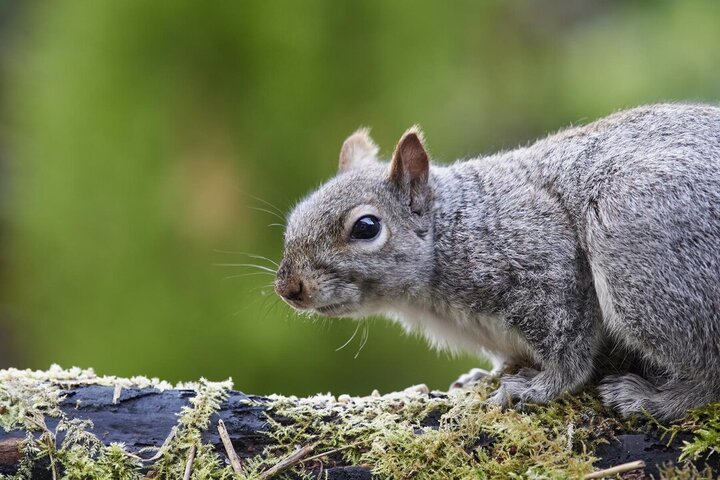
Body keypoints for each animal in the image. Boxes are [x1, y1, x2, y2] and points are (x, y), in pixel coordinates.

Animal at [274, 105, 720, 420]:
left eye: (366, 227)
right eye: (293, 219)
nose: (289, 288)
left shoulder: (541, 258)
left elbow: (570, 350)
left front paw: (539, 387)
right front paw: (483, 375)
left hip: (638, 253)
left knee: (706, 369)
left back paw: (653, 399)